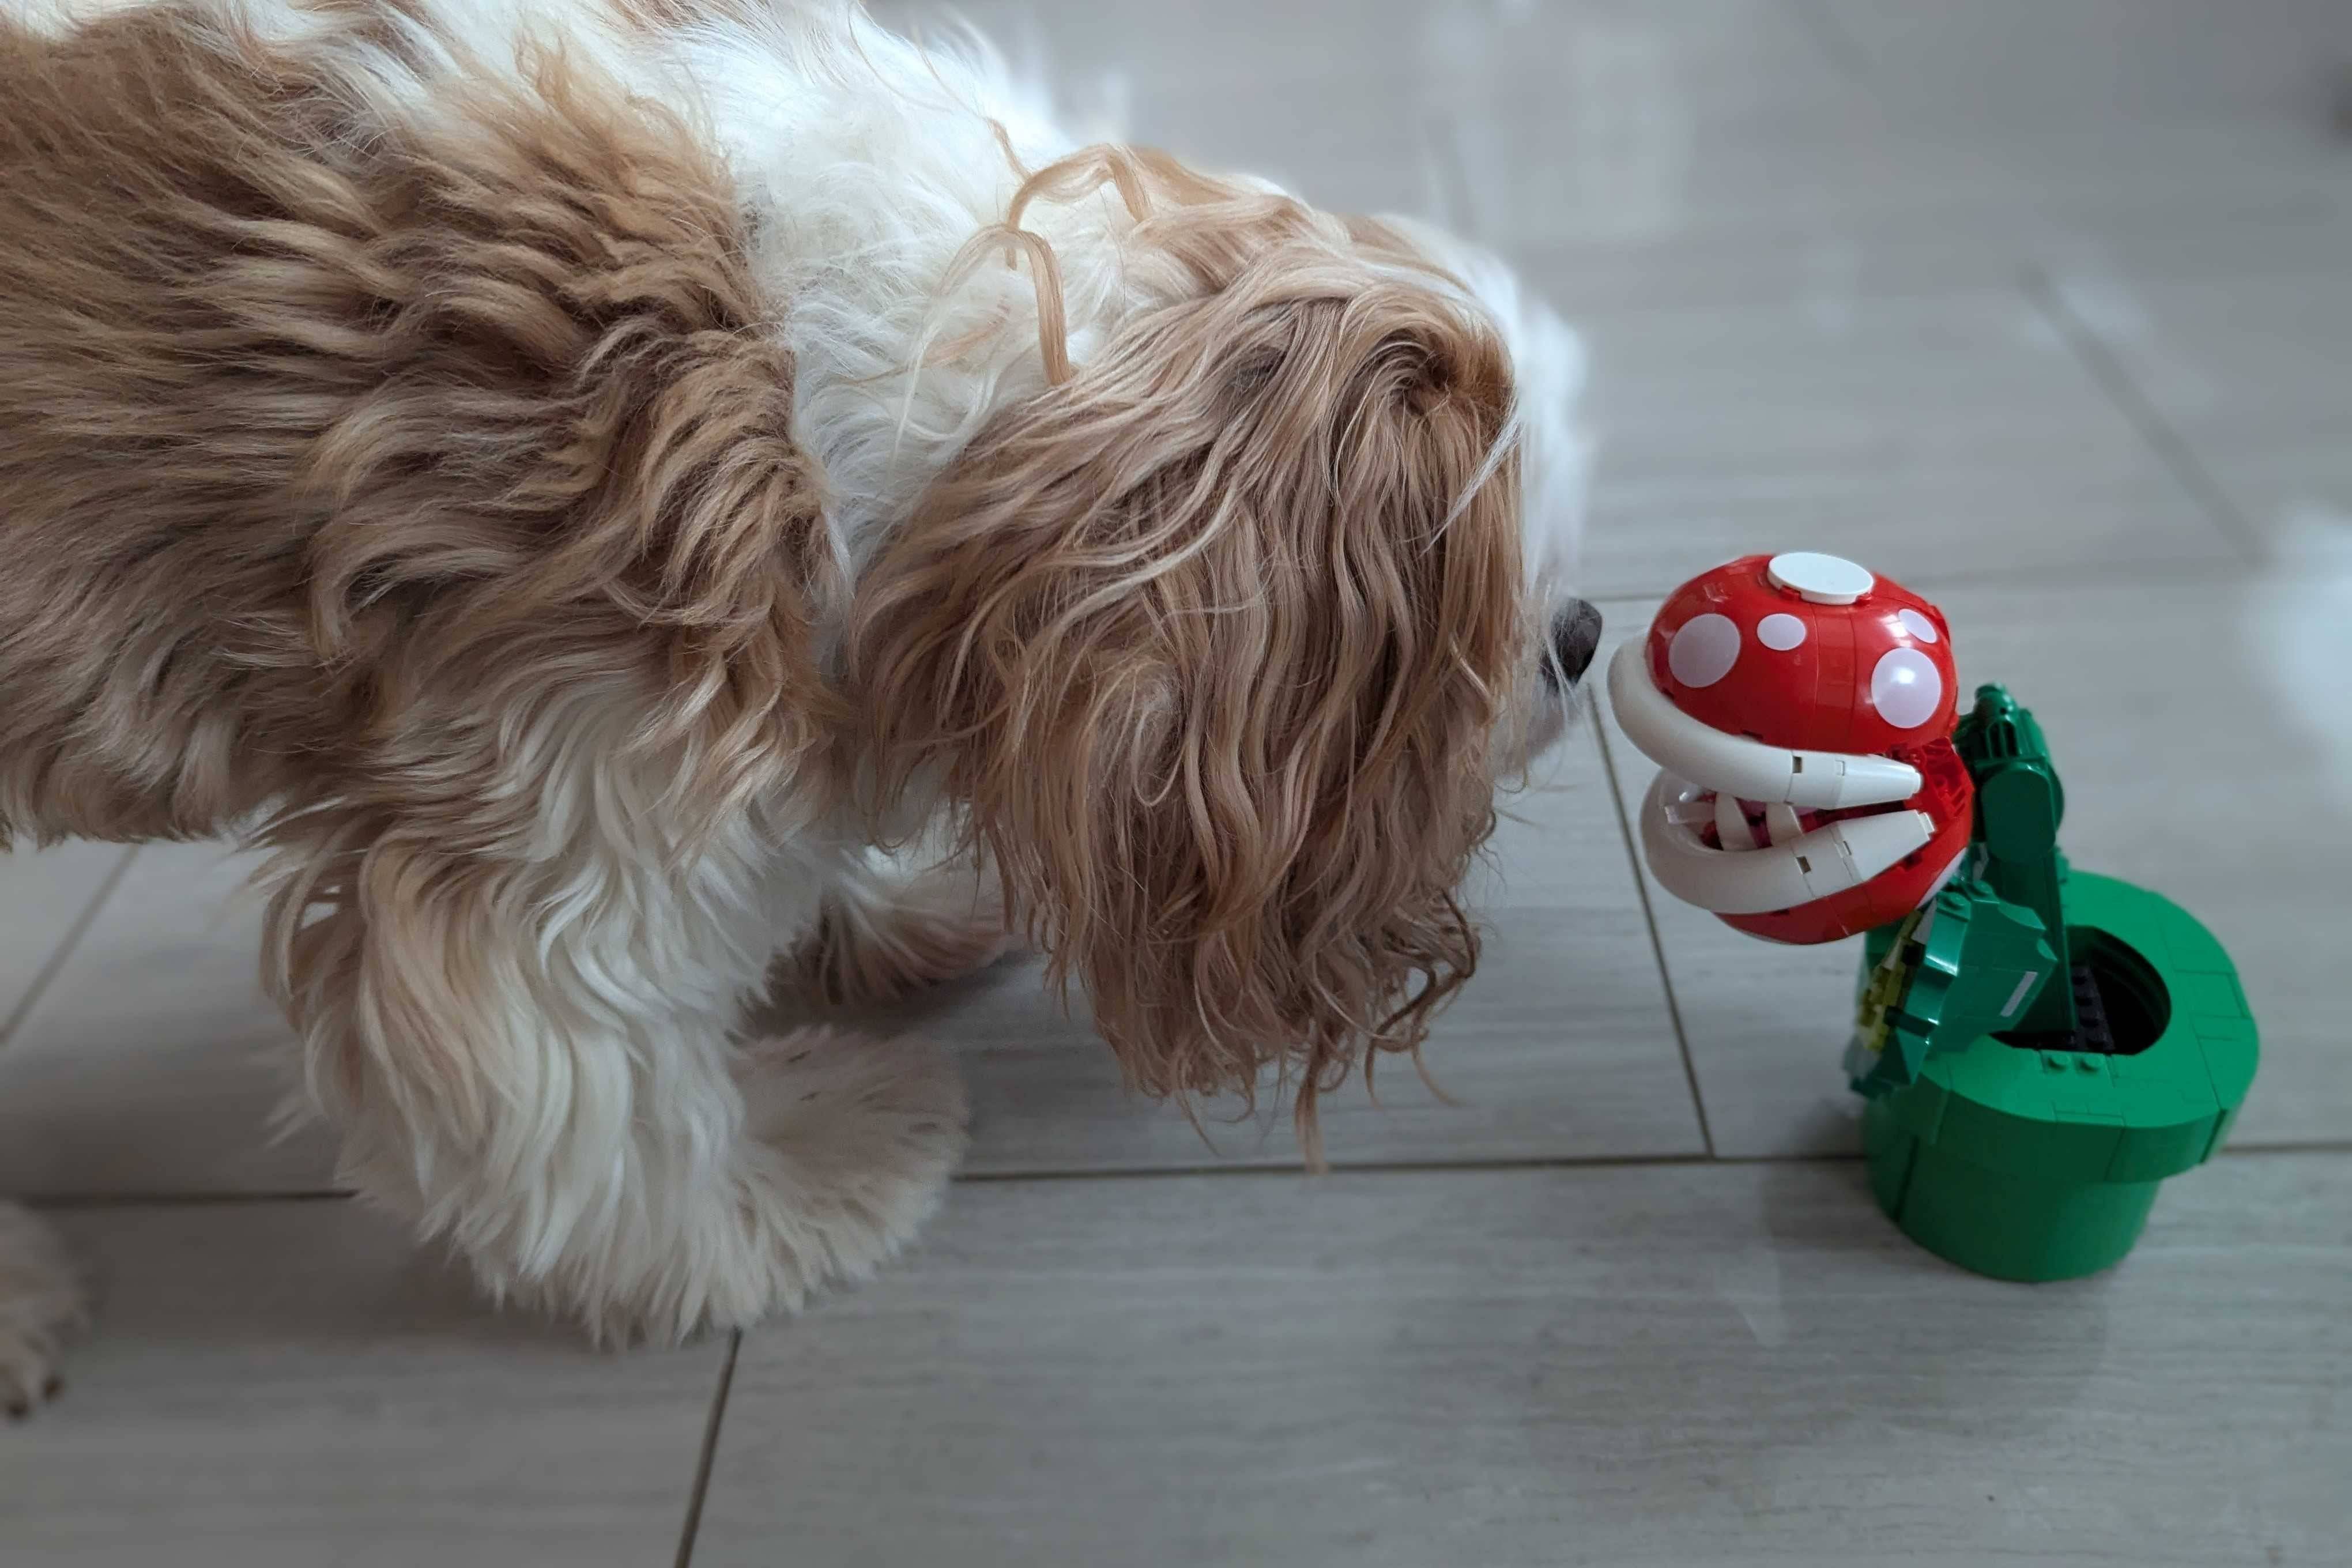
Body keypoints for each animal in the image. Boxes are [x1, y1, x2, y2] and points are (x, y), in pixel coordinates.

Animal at [0, 0, 1599, 1410]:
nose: (1584, 635)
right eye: (1485, 607)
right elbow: (593, 1108)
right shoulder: (548, 799)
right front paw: (795, 1180)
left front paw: (880, 916)